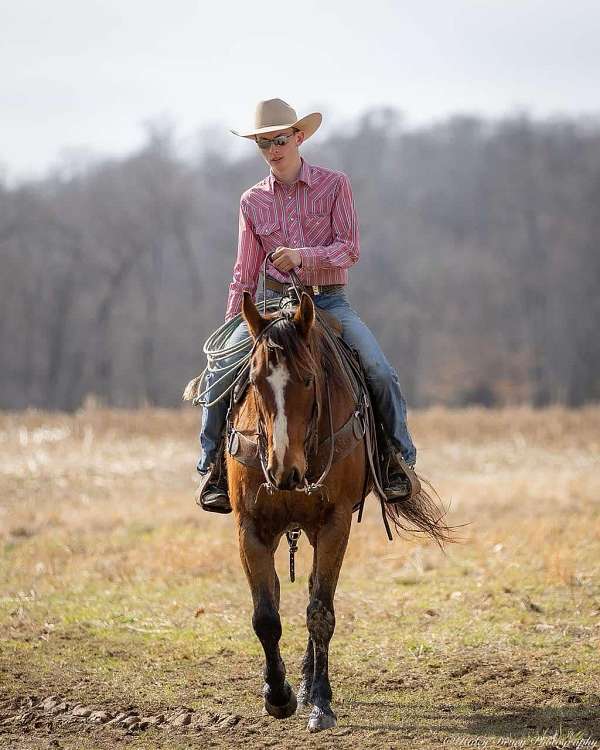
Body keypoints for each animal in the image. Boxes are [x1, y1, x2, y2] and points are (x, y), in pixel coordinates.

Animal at [218, 290, 448, 736]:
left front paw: (320, 703)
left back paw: (310, 685)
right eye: (254, 382)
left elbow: (320, 611)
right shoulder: (250, 527)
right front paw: (278, 697)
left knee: (313, 592)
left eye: (308, 379)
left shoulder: (334, 524)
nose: (283, 469)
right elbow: (266, 616)